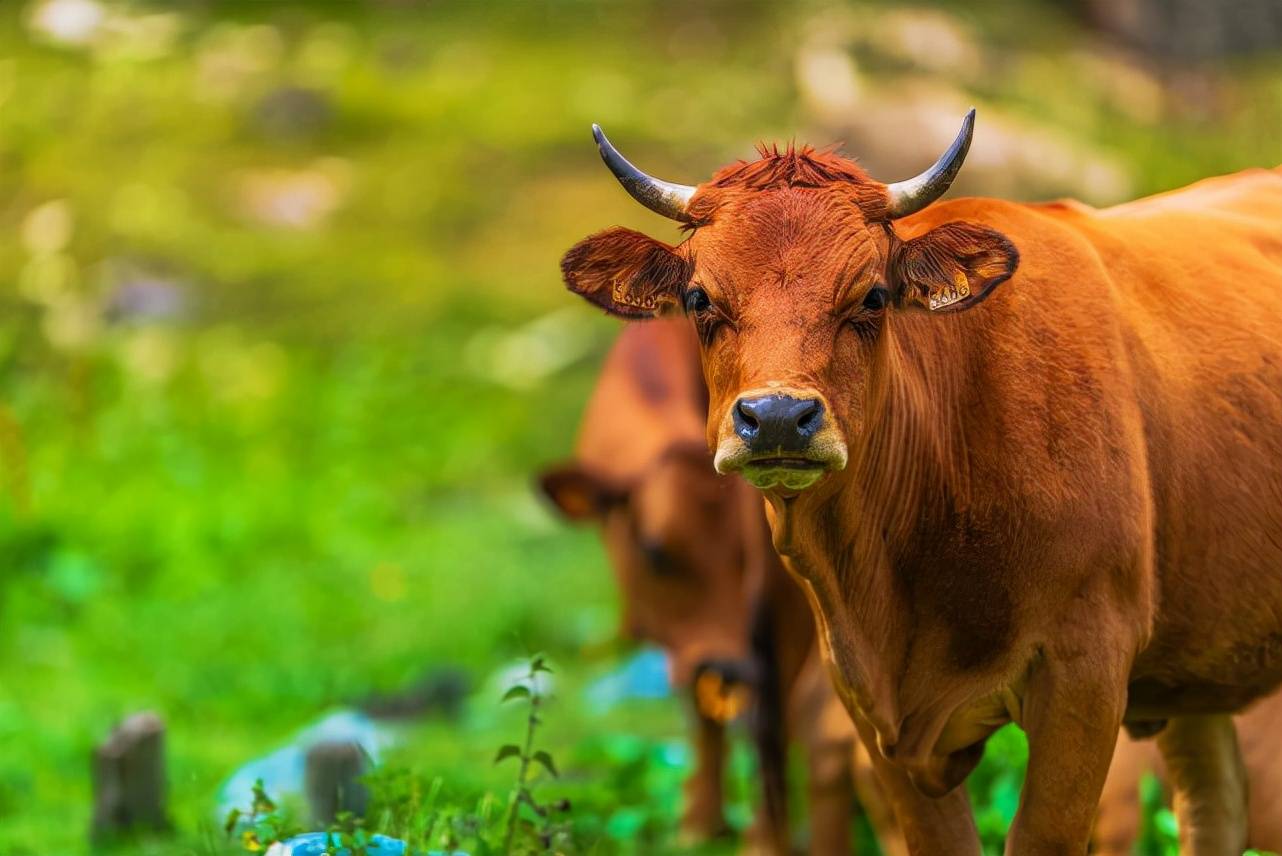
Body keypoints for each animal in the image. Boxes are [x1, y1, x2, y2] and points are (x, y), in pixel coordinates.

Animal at [538, 322, 902, 856]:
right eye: (653, 551)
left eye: (753, 551)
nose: (728, 666)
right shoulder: (688, 639)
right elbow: (703, 704)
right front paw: (700, 822)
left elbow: (776, 716)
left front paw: (765, 837)